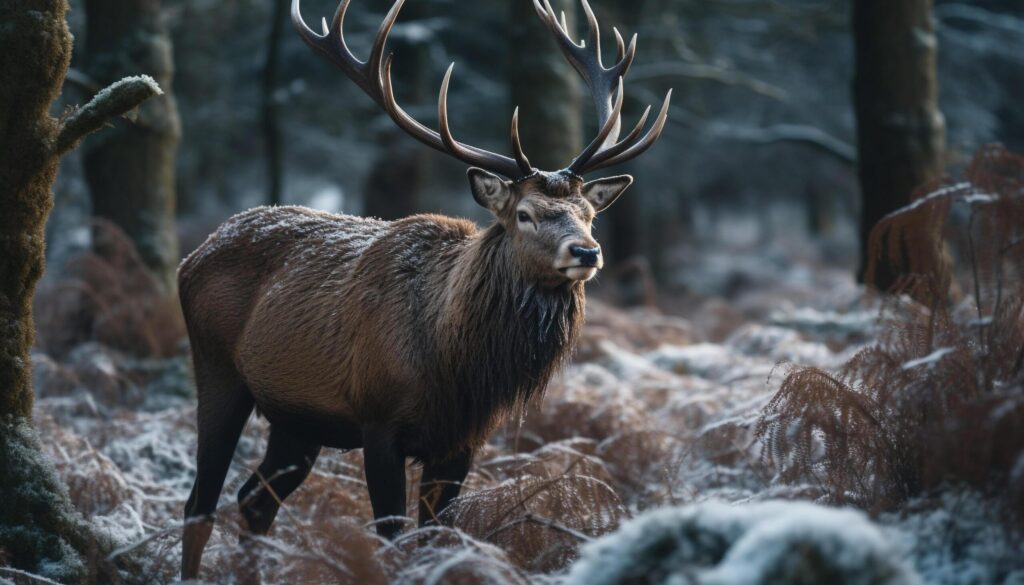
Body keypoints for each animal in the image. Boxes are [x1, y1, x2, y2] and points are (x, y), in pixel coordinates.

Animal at [178, 0, 671, 577]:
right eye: (524, 214)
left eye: (588, 214)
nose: (587, 252)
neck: (454, 367)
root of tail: (192, 257)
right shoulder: (378, 422)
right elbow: (392, 540)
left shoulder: (462, 441)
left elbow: (436, 540)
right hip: (216, 369)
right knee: (200, 502)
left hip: (297, 418)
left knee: (254, 499)